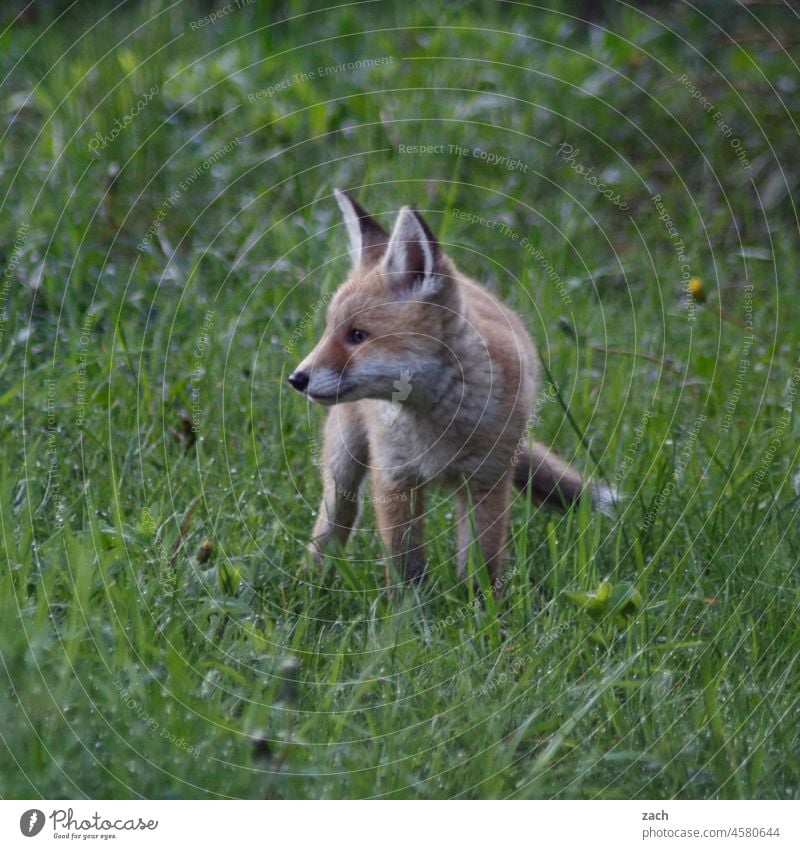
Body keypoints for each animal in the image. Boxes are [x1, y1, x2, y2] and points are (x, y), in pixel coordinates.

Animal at [290, 189, 612, 592]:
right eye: (328, 330)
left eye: (358, 335)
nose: (296, 378)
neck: (433, 420)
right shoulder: (395, 476)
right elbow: (405, 564)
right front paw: (407, 608)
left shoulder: (487, 480)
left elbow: (481, 563)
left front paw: (478, 606)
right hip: (344, 463)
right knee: (337, 518)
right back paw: (311, 580)